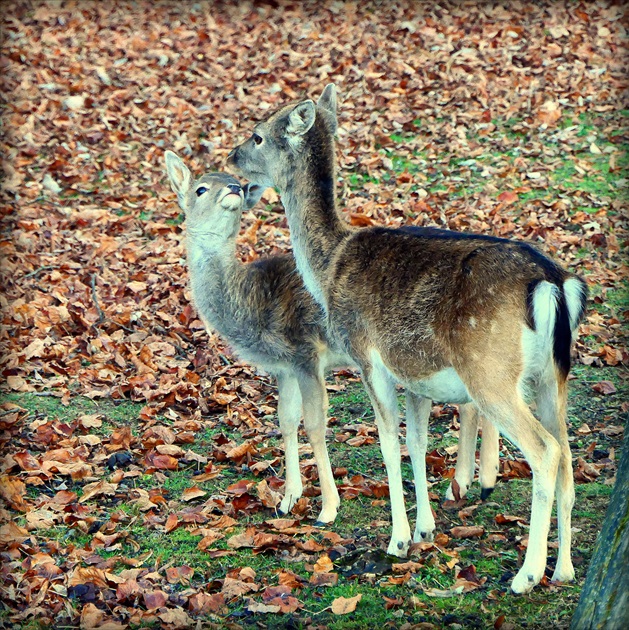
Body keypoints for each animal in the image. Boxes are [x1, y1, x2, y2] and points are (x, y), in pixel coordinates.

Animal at [164, 149, 498, 540]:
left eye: (234, 182)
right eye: (201, 188)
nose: (235, 188)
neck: (253, 304)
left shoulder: (306, 353)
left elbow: (314, 424)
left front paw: (327, 508)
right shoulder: (284, 367)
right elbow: (285, 420)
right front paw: (288, 498)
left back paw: (470, 482)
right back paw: (468, 483)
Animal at [227, 85, 588, 596]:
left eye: (258, 135)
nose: (233, 156)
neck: (328, 266)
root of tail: (554, 283)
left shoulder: (367, 356)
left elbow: (387, 445)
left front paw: (397, 540)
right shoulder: (416, 376)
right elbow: (416, 443)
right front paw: (424, 529)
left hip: (491, 372)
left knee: (546, 451)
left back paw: (527, 574)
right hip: (554, 374)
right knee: (568, 454)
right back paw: (564, 568)